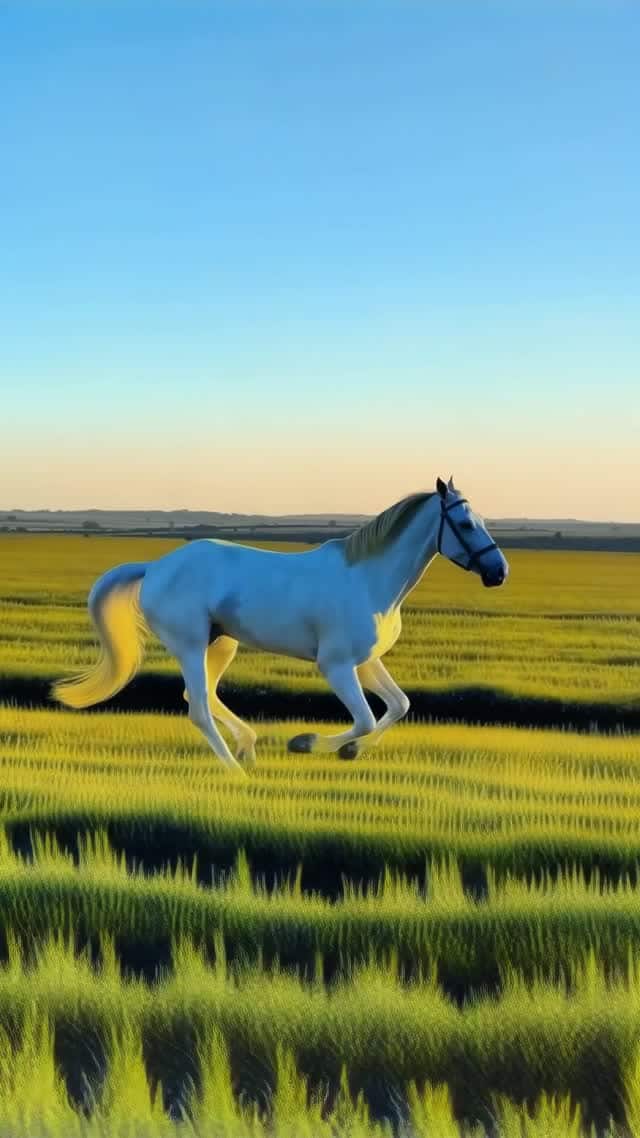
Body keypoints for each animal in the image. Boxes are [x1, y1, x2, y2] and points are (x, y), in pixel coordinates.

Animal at [52, 476, 508, 773]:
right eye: (465, 524)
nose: (498, 572)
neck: (370, 580)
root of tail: (154, 567)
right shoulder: (336, 665)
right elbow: (364, 717)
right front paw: (305, 743)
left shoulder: (365, 662)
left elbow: (399, 706)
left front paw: (352, 752)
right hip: (189, 643)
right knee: (198, 707)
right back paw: (236, 771)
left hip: (221, 643)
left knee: (202, 696)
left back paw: (248, 747)